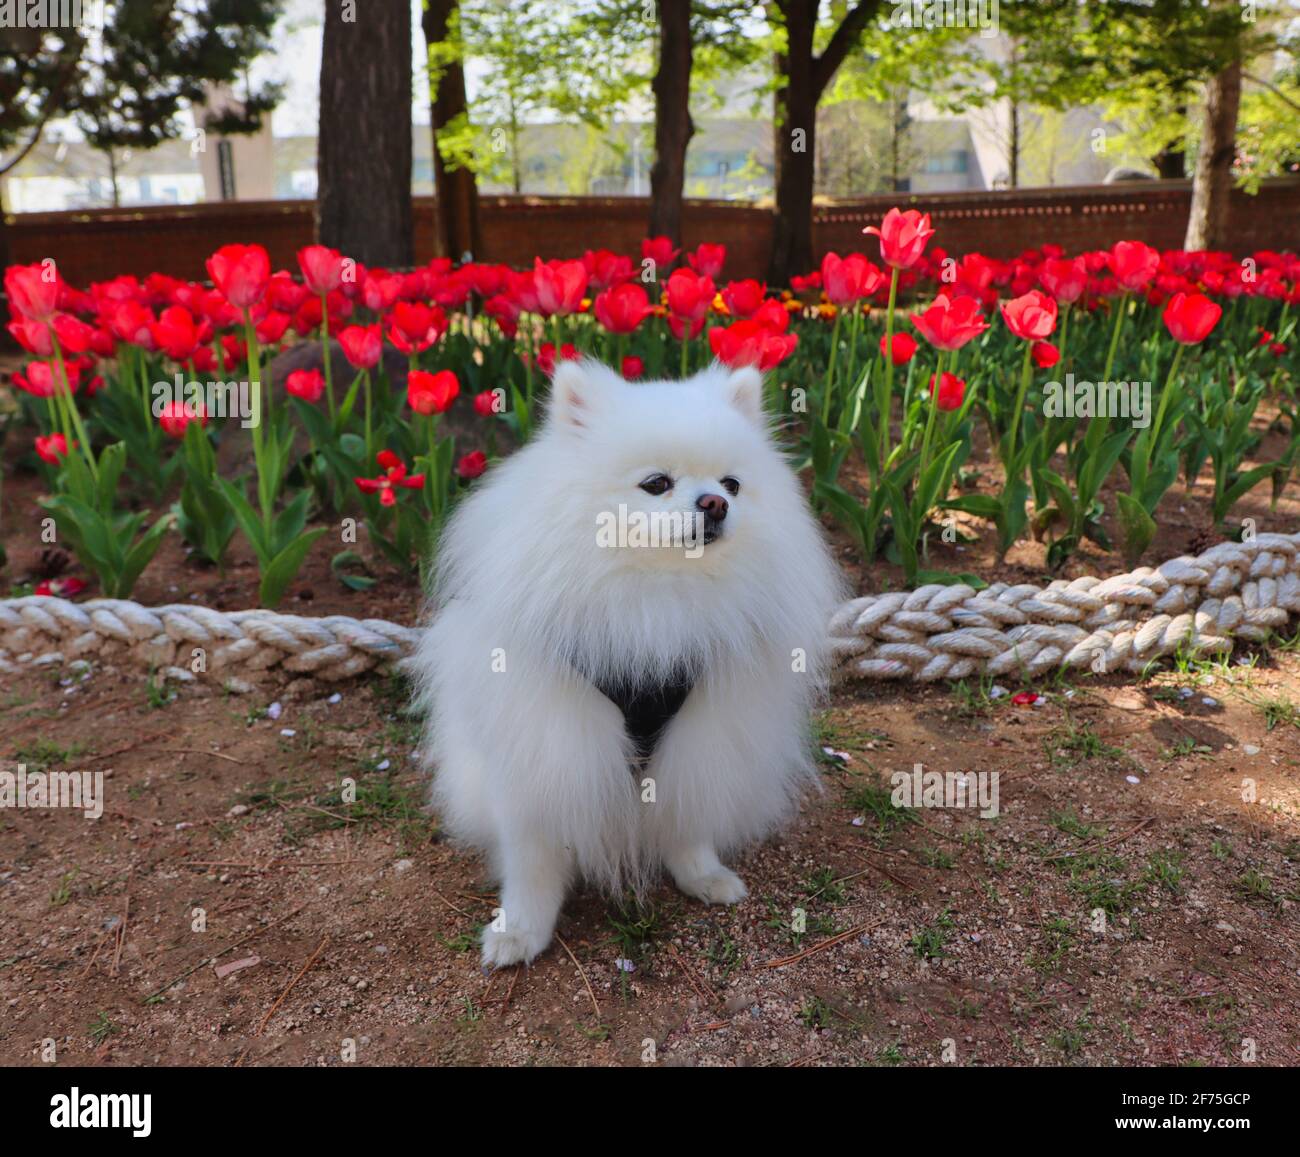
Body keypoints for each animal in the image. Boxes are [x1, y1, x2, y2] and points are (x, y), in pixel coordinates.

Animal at [413, 361, 842, 967]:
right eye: (657, 483)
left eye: (732, 484)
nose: (715, 503)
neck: (659, 596)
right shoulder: (543, 749)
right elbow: (533, 859)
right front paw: (520, 930)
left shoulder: (700, 734)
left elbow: (688, 817)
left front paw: (702, 875)